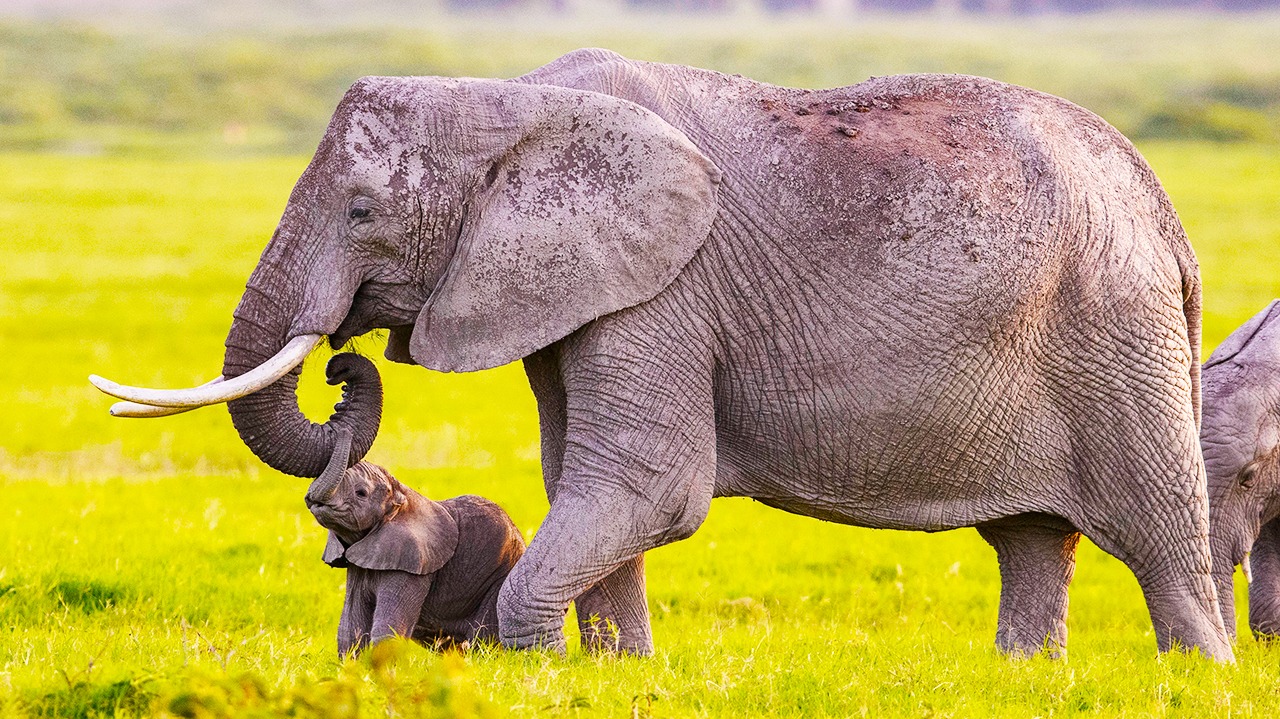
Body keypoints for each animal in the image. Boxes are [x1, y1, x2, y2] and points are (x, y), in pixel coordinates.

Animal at [304, 424, 524, 655]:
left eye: (361, 493)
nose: (342, 430)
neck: (400, 494)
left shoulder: (412, 564)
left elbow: (389, 626)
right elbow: (350, 626)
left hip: (499, 576)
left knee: (483, 637)